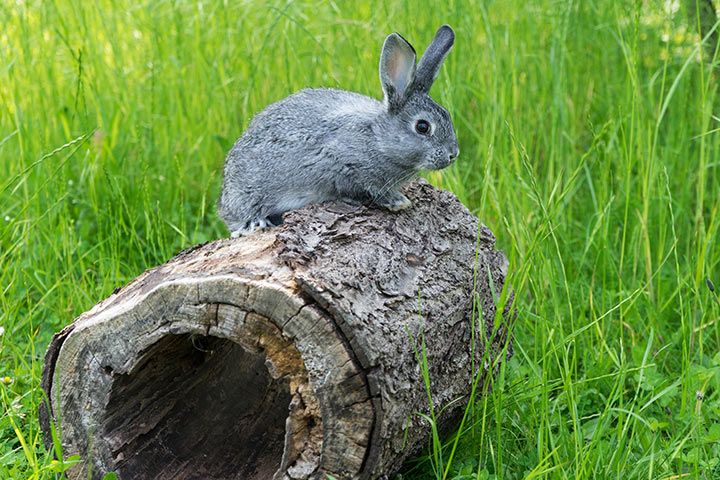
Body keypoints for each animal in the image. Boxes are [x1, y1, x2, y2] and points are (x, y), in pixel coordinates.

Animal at [217, 24, 458, 238]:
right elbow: (371, 187)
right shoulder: (342, 161)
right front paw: (398, 202)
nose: (452, 155)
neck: (377, 138)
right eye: (423, 127)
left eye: (447, 114)